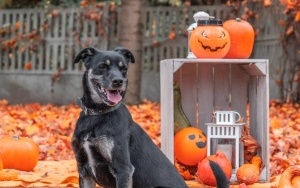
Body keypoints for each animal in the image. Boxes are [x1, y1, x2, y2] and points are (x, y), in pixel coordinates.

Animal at [71, 46, 188, 187]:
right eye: (102, 66)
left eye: (124, 69)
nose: (118, 81)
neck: (98, 114)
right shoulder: (84, 171)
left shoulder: (123, 169)